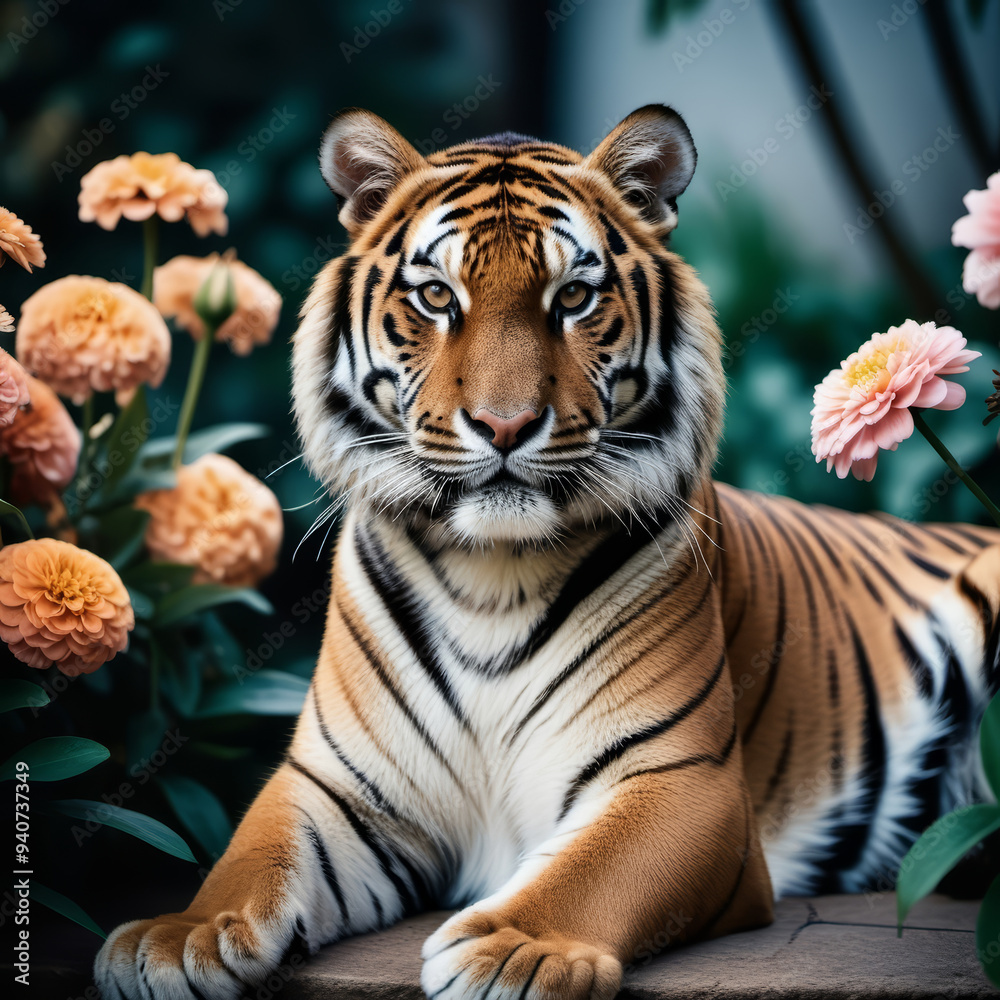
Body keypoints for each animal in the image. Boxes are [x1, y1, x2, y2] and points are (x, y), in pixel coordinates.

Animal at [94, 104, 1000, 1000]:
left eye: (573, 297)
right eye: (436, 296)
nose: (505, 425)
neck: (489, 576)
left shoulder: (682, 779)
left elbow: (591, 871)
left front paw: (514, 952)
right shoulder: (339, 787)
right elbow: (253, 854)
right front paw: (176, 937)